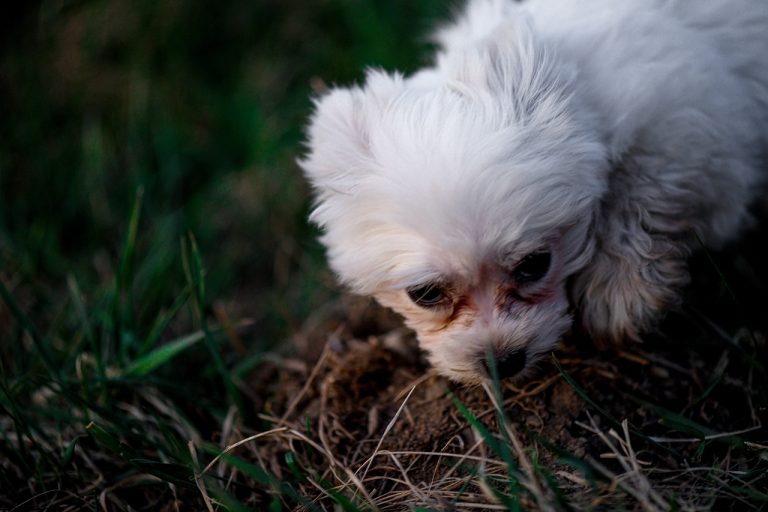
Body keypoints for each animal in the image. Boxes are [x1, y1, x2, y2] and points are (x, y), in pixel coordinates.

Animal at [300, 1, 768, 384]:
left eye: (535, 264)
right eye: (426, 294)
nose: (503, 362)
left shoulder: (688, 124)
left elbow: (638, 187)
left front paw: (619, 287)